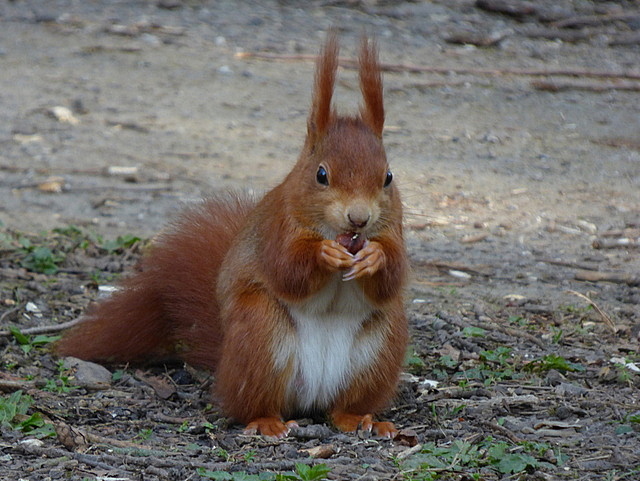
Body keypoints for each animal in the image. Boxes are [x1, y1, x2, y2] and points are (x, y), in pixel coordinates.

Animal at [55, 33, 409, 439]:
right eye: (321, 175)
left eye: (388, 177)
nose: (359, 219)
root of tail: (311, 399)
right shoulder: (276, 228)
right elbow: (288, 270)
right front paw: (324, 254)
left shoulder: (394, 230)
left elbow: (393, 274)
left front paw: (374, 257)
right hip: (259, 333)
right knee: (249, 405)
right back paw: (268, 422)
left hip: (379, 349)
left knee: (343, 407)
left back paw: (361, 419)